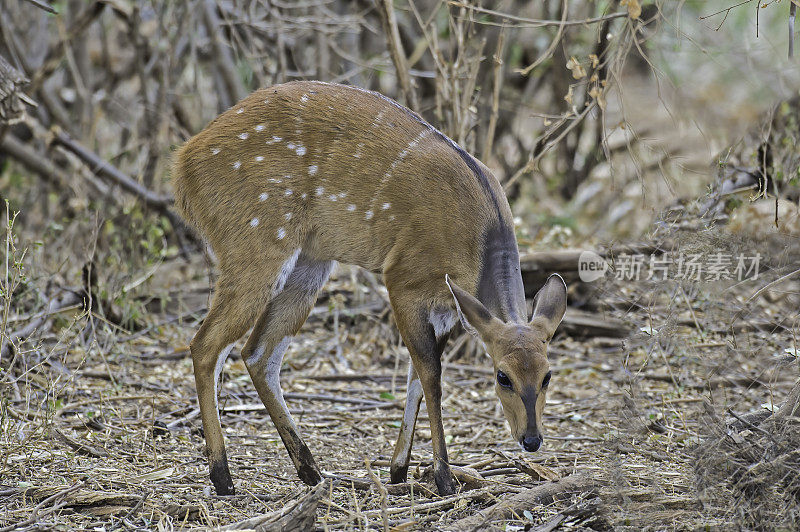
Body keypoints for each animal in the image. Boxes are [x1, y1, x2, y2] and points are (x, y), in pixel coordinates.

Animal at [172, 81, 564, 496]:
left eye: (547, 375)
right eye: (502, 376)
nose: (531, 440)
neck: (479, 234)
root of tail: (182, 165)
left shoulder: (447, 306)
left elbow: (416, 377)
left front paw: (399, 470)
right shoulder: (403, 280)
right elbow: (431, 376)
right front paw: (442, 478)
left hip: (310, 264)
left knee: (258, 353)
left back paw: (312, 471)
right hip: (259, 248)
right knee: (205, 344)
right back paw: (223, 477)